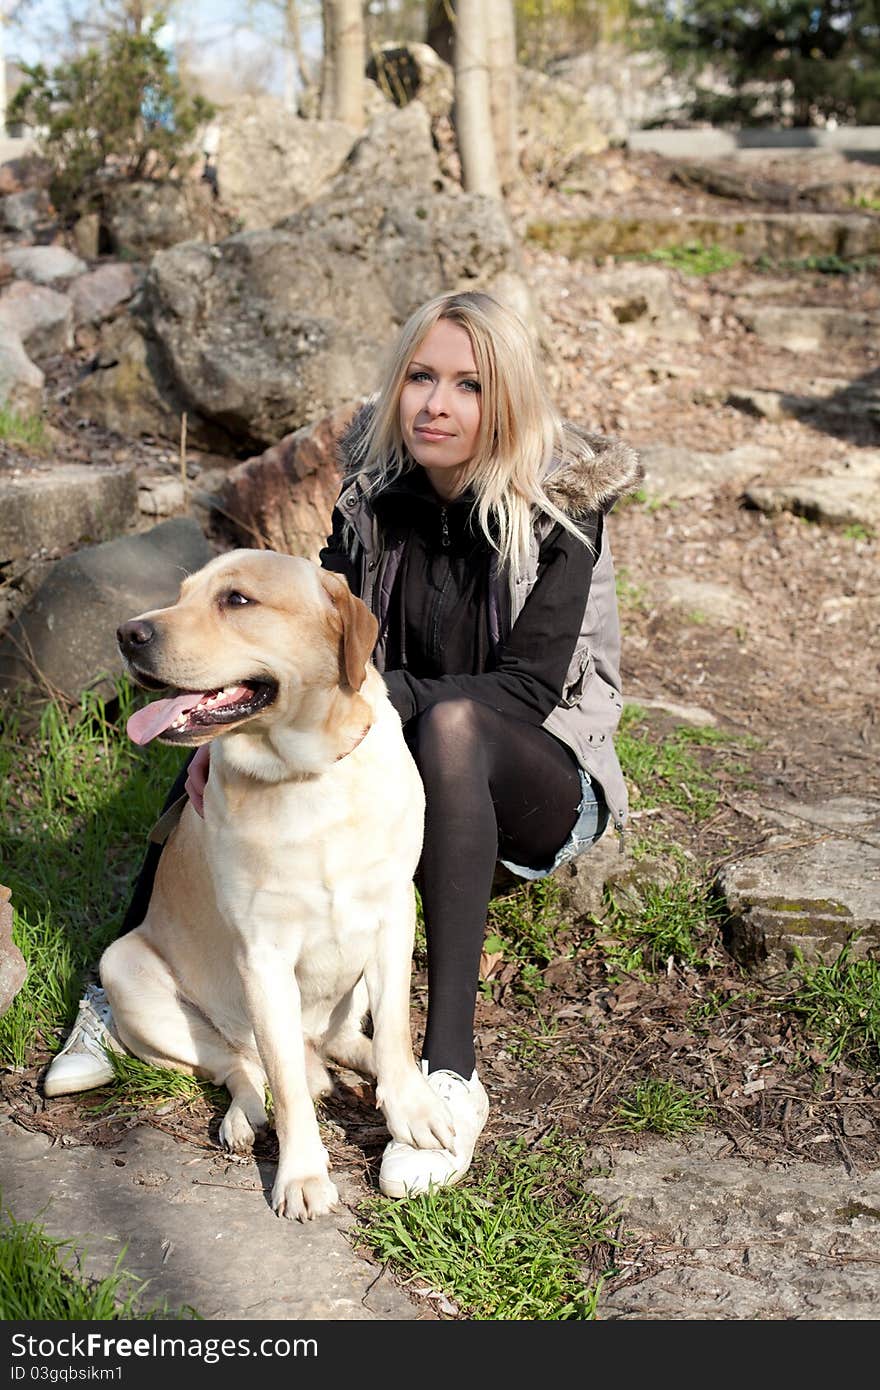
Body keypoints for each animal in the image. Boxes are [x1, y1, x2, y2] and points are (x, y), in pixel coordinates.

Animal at [104, 547, 453, 1223]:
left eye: (237, 600)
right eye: (181, 595)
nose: (129, 633)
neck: (306, 777)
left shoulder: (393, 915)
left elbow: (397, 1028)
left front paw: (413, 1107)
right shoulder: (262, 958)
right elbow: (287, 1087)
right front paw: (301, 1175)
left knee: (351, 1040)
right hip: (126, 970)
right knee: (243, 1067)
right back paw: (245, 1116)